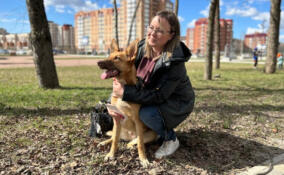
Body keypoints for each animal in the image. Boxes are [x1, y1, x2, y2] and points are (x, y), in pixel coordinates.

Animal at [96, 39, 156, 167]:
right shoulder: (116, 119)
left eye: (117, 58)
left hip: (150, 134)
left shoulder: (138, 122)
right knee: (115, 138)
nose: (98, 62)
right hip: (118, 128)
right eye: (109, 55)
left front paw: (143, 159)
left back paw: (131, 146)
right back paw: (104, 142)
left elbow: (140, 145)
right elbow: (114, 141)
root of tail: (128, 136)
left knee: (133, 142)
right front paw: (111, 155)